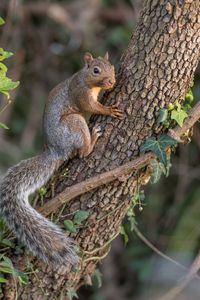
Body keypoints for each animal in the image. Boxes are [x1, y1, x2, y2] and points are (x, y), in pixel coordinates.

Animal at [0, 52, 122, 270]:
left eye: (112, 67)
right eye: (96, 70)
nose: (111, 81)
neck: (85, 79)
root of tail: (56, 150)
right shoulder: (80, 94)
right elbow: (93, 107)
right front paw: (108, 110)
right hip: (74, 123)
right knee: (83, 153)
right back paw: (93, 138)